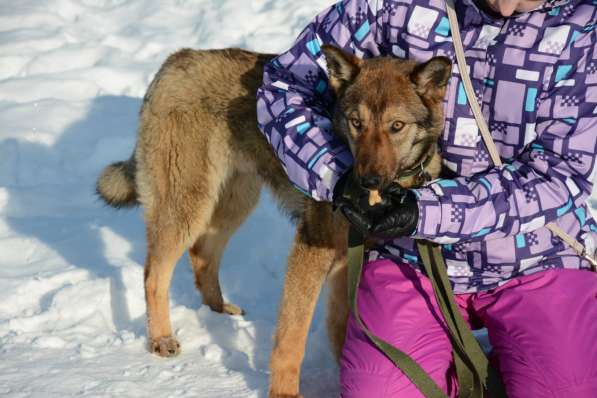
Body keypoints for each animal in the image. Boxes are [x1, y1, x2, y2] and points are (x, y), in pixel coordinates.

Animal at [96, 45, 448, 396]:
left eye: (397, 126)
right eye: (356, 123)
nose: (367, 181)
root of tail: (177, 59)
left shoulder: (346, 259)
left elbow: (339, 326)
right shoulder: (313, 248)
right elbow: (292, 337)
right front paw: (285, 392)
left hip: (235, 201)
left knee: (201, 254)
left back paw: (219, 313)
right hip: (188, 206)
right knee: (154, 274)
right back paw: (161, 338)